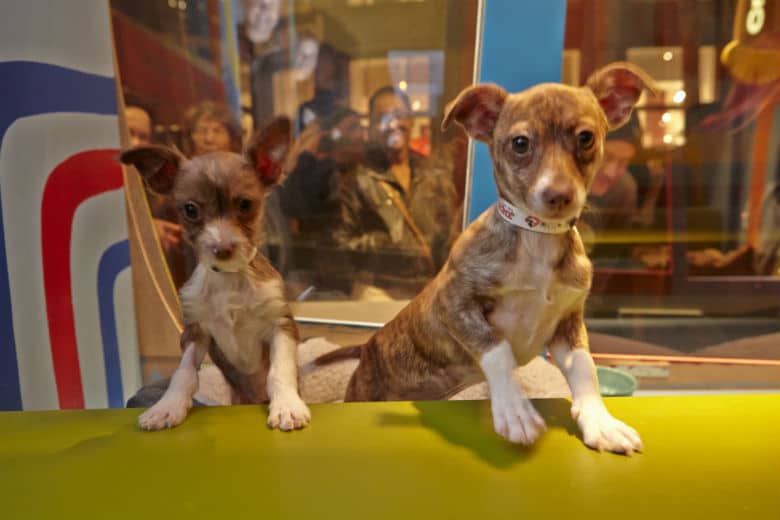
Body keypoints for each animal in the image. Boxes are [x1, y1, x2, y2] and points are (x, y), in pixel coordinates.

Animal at [120, 117, 310, 430]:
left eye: (245, 204)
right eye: (190, 210)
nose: (222, 248)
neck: (229, 279)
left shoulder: (281, 325)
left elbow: (279, 371)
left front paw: (287, 407)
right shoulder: (196, 332)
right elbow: (183, 373)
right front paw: (167, 407)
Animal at [320, 62, 656, 456]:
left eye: (586, 137)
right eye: (520, 143)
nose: (559, 195)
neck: (536, 238)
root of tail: (367, 347)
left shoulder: (568, 326)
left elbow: (585, 370)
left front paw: (600, 422)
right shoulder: (453, 303)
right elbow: (498, 351)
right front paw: (514, 410)